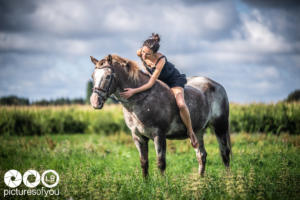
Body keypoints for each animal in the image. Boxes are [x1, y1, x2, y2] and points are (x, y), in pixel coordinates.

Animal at [90, 54, 231, 177]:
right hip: (198, 131)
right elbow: (144, 163)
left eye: (108, 76)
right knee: (201, 155)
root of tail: (217, 85)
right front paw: (146, 184)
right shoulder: (138, 137)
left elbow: (161, 163)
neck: (141, 99)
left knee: (225, 154)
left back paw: (228, 180)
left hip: (220, 127)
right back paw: (200, 181)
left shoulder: (159, 135)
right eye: (93, 76)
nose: (95, 102)